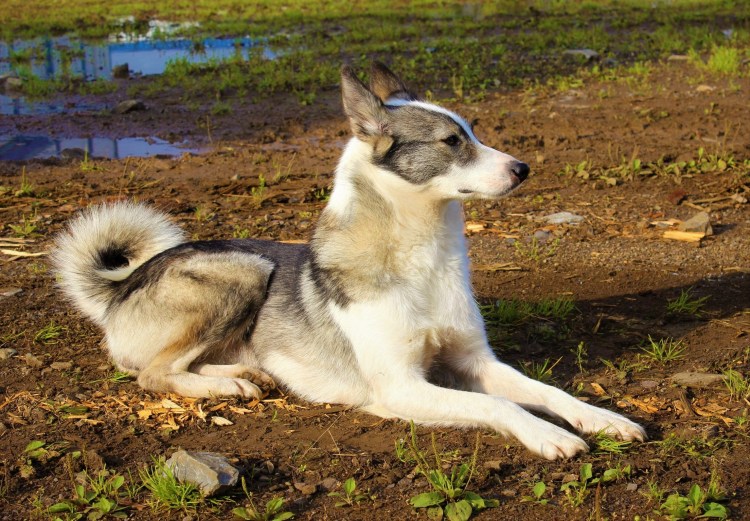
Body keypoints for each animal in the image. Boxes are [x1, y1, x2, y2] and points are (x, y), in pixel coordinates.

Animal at [52, 63, 645, 459]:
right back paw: (225, 386)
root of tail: (124, 285)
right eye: (452, 141)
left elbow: (546, 390)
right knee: (152, 374)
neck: (422, 257)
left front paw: (601, 418)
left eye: (473, 132)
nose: (523, 169)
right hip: (245, 269)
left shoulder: (478, 363)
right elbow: (501, 407)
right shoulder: (402, 388)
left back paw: (243, 372)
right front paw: (550, 435)